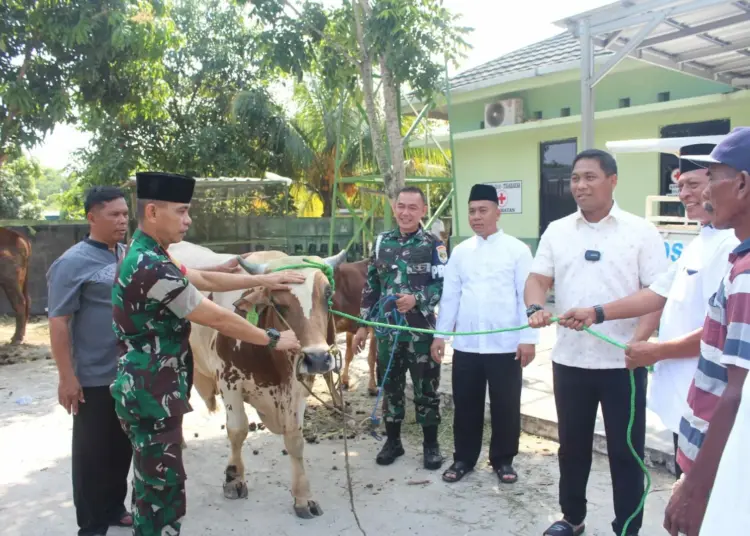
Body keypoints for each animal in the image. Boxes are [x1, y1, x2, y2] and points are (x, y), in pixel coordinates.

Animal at [170, 243, 346, 520]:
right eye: (277, 301)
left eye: (327, 294)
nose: (317, 358)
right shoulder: (229, 381)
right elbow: (238, 430)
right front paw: (234, 478)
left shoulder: (296, 389)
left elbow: (295, 439)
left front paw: (303, 497)